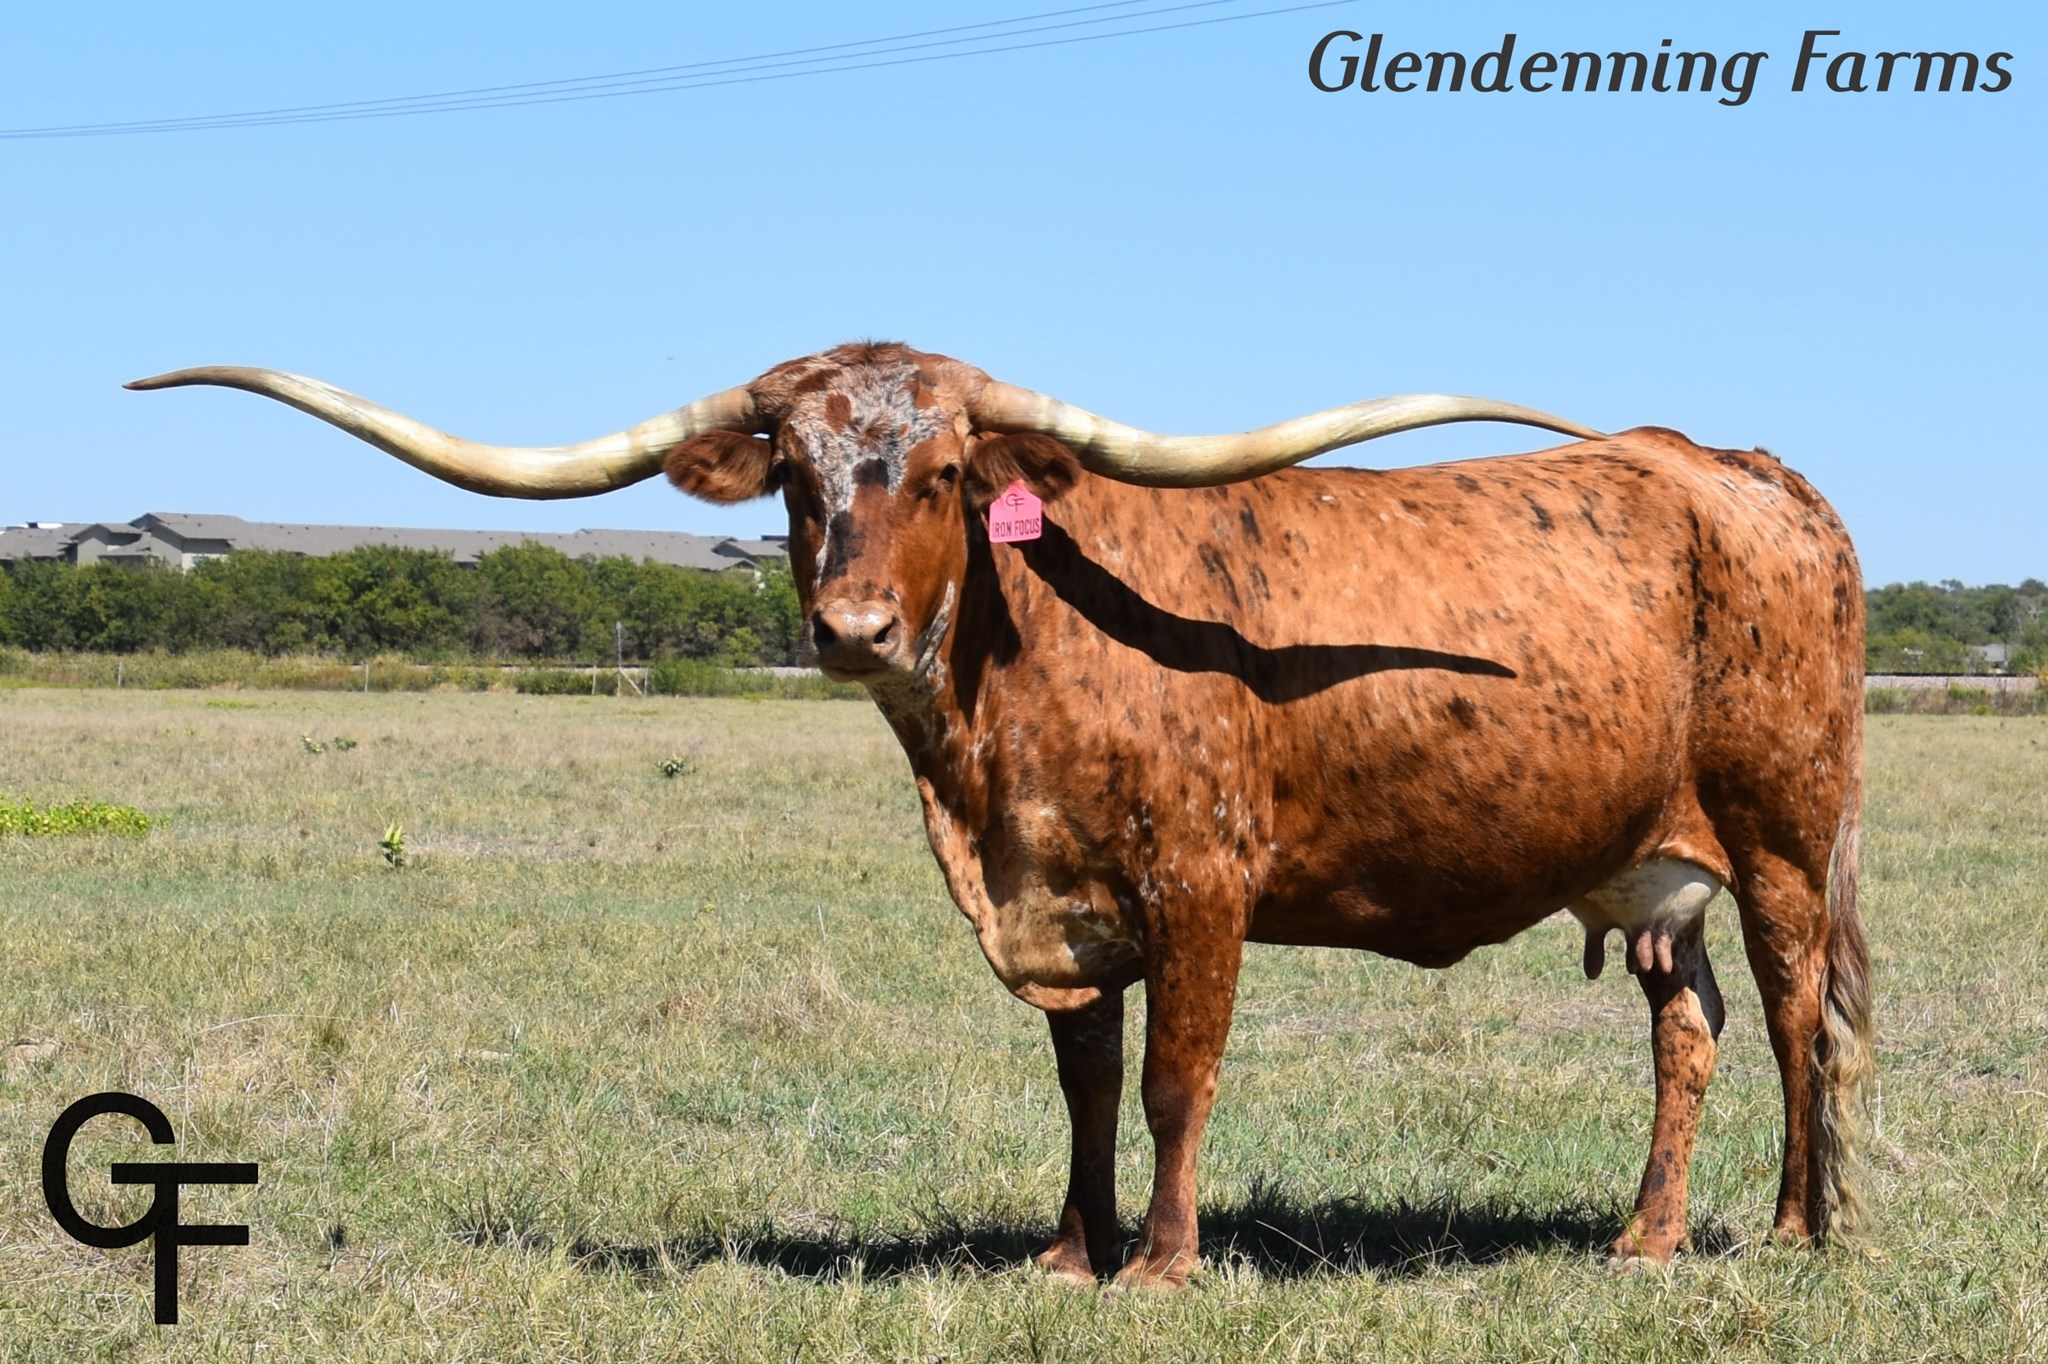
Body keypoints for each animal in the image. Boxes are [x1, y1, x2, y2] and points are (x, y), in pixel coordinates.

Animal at [128, 342, 1872, 1287]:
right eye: (794, 467)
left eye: (950, 472)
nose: (847, 628)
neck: (987, 761)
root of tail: (1732, 466)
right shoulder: (1061, 899)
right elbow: (1085, 1085)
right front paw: (1067, 1250)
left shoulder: (1201, 885)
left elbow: (1174, 1078)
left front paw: (1161, 1265)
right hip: (1650, 871)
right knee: (1693, 1026)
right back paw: (1644, 1237)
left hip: (1784, 836)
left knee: (1801, 1021)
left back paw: (1802, 1228)